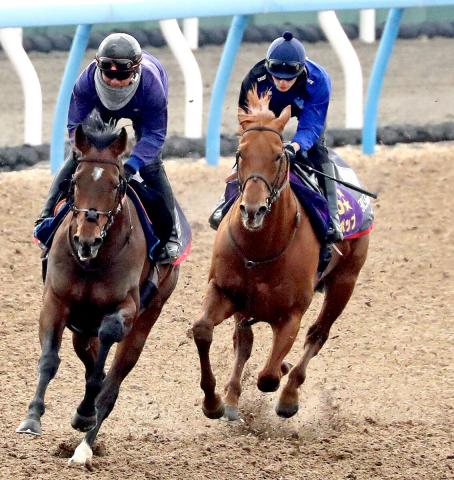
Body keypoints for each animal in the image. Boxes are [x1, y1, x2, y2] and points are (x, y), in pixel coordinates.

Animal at [16, 111, 179, 464]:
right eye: (75, 180)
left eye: (116, 184)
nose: (85, 240)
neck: (93, 261)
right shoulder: (56, 301)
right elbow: (49, 359)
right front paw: (32, 417)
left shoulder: (125, 308)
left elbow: (105, 352)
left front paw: (85, 412)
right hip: (81, 326)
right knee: (89, 357)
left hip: (146, 319)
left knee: (111, 385)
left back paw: (84, 447)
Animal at [192, 89, 368, 420]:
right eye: (240, 153)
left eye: (278, 155)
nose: (253, 210)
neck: (260, 248)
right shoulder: (225, 291)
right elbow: (203, 331)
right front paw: (213, 402)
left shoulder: (290, 315)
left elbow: (269, 377)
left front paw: (282, 376)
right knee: (244, 342)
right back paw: (232, 398)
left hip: (345, 281)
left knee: (317, 334)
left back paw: (288, 395)